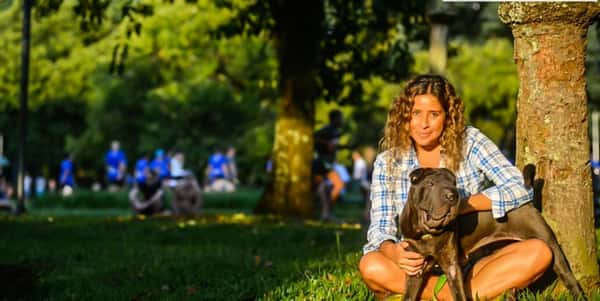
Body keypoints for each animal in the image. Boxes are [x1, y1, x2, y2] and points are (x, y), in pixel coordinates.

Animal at [400, 166, 584, 300]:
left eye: (453, 183)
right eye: (430, 184)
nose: (452, 195)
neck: (427, 234)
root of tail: (527, 203)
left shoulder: (452, 267)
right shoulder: (415, 269)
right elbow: (409, 296)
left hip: (550, 245)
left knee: (569, 277)